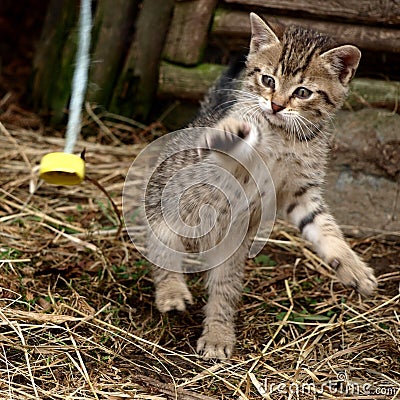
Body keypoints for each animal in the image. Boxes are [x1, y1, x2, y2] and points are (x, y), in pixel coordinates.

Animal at [145, 14, 376, 360]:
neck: (284, 135)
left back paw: (218, 336)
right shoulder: (220, 167)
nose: (276, 105)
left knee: (223, 291)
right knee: (162, 254)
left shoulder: (300, 194)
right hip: (167, 214)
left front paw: (352, 267)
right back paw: (172, 293)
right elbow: (228, 141)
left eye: (303, 92)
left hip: (230, 252)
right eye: (268, 80)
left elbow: (325, 228)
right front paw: (232, 131)